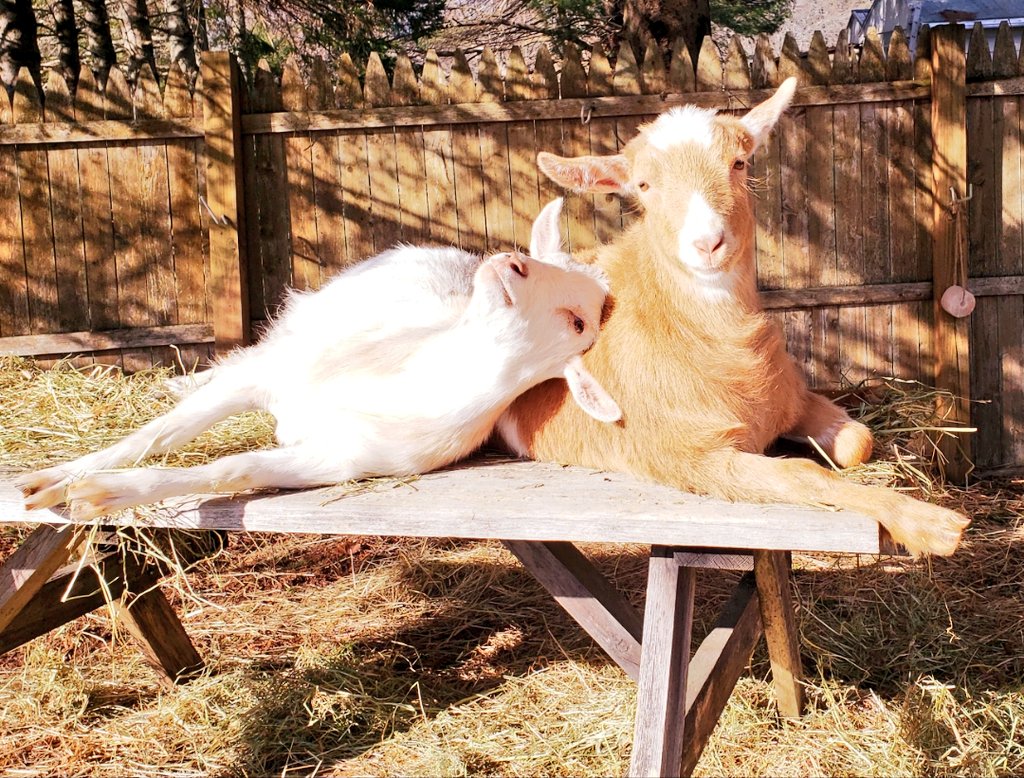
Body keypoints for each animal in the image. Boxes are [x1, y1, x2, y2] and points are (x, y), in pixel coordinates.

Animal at [19, 197, 618, 520]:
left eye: (578, 321)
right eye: (545, 260)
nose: (513, 263)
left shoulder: (340, 459)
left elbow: (232, 467)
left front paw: (103, 494)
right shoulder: (272, 378)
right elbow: (160, 434)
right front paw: (53, 479)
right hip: (304, 324)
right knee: (230, 365)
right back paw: (170, 384)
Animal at [499, 78, 970, 556]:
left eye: (739, 163)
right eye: (644, 184)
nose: (708, 243)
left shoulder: (792, 398)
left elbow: (860, 441)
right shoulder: (694, 457)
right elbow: (801, 472)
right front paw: (933, 524)